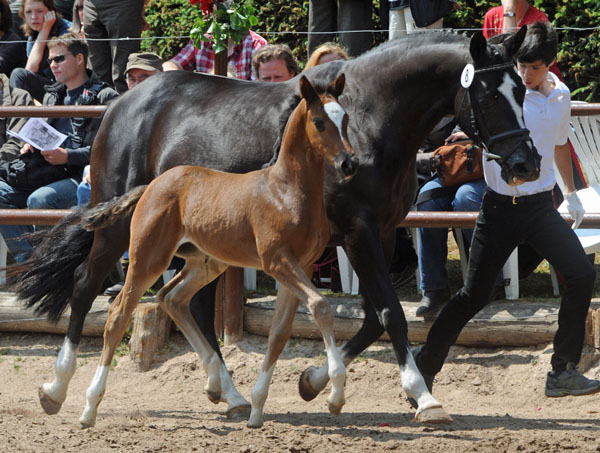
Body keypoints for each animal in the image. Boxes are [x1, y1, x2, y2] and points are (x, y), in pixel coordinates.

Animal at [78, 74, 360, 428]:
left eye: (345, 119)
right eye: (320, 122)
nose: (349, 163)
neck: (286, 191)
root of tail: (151, 185)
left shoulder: (303, 266)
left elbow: (280, 332)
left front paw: (257, 409)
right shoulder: (277, 261)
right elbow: (321, 306)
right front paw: (336, 395)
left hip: (206, 262)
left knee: (172, 298)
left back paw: (219, 388)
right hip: (148, 258)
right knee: (118, 314)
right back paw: (87, 407)